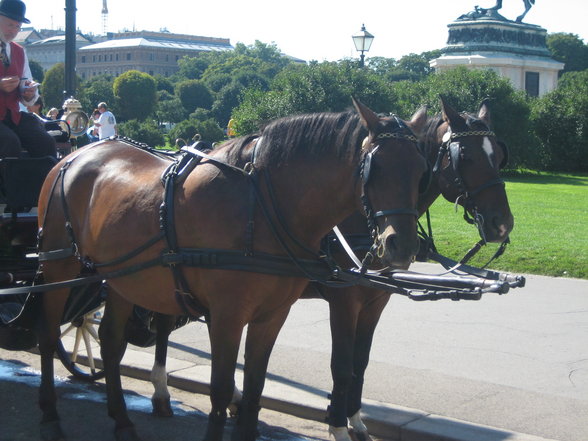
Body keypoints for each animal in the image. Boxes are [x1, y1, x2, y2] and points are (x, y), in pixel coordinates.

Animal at [35, 99, 428, 440]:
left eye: (421, 170)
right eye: (374, 169)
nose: (402, 246)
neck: (263, 204)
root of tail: (76, 154)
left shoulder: (273, 314)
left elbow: (256, 387)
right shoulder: (231, 314)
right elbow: (222, 390)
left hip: (122, 278)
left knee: (111, 342)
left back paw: (122, 420)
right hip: (58, 266)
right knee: (48, 334)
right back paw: (51, 414)